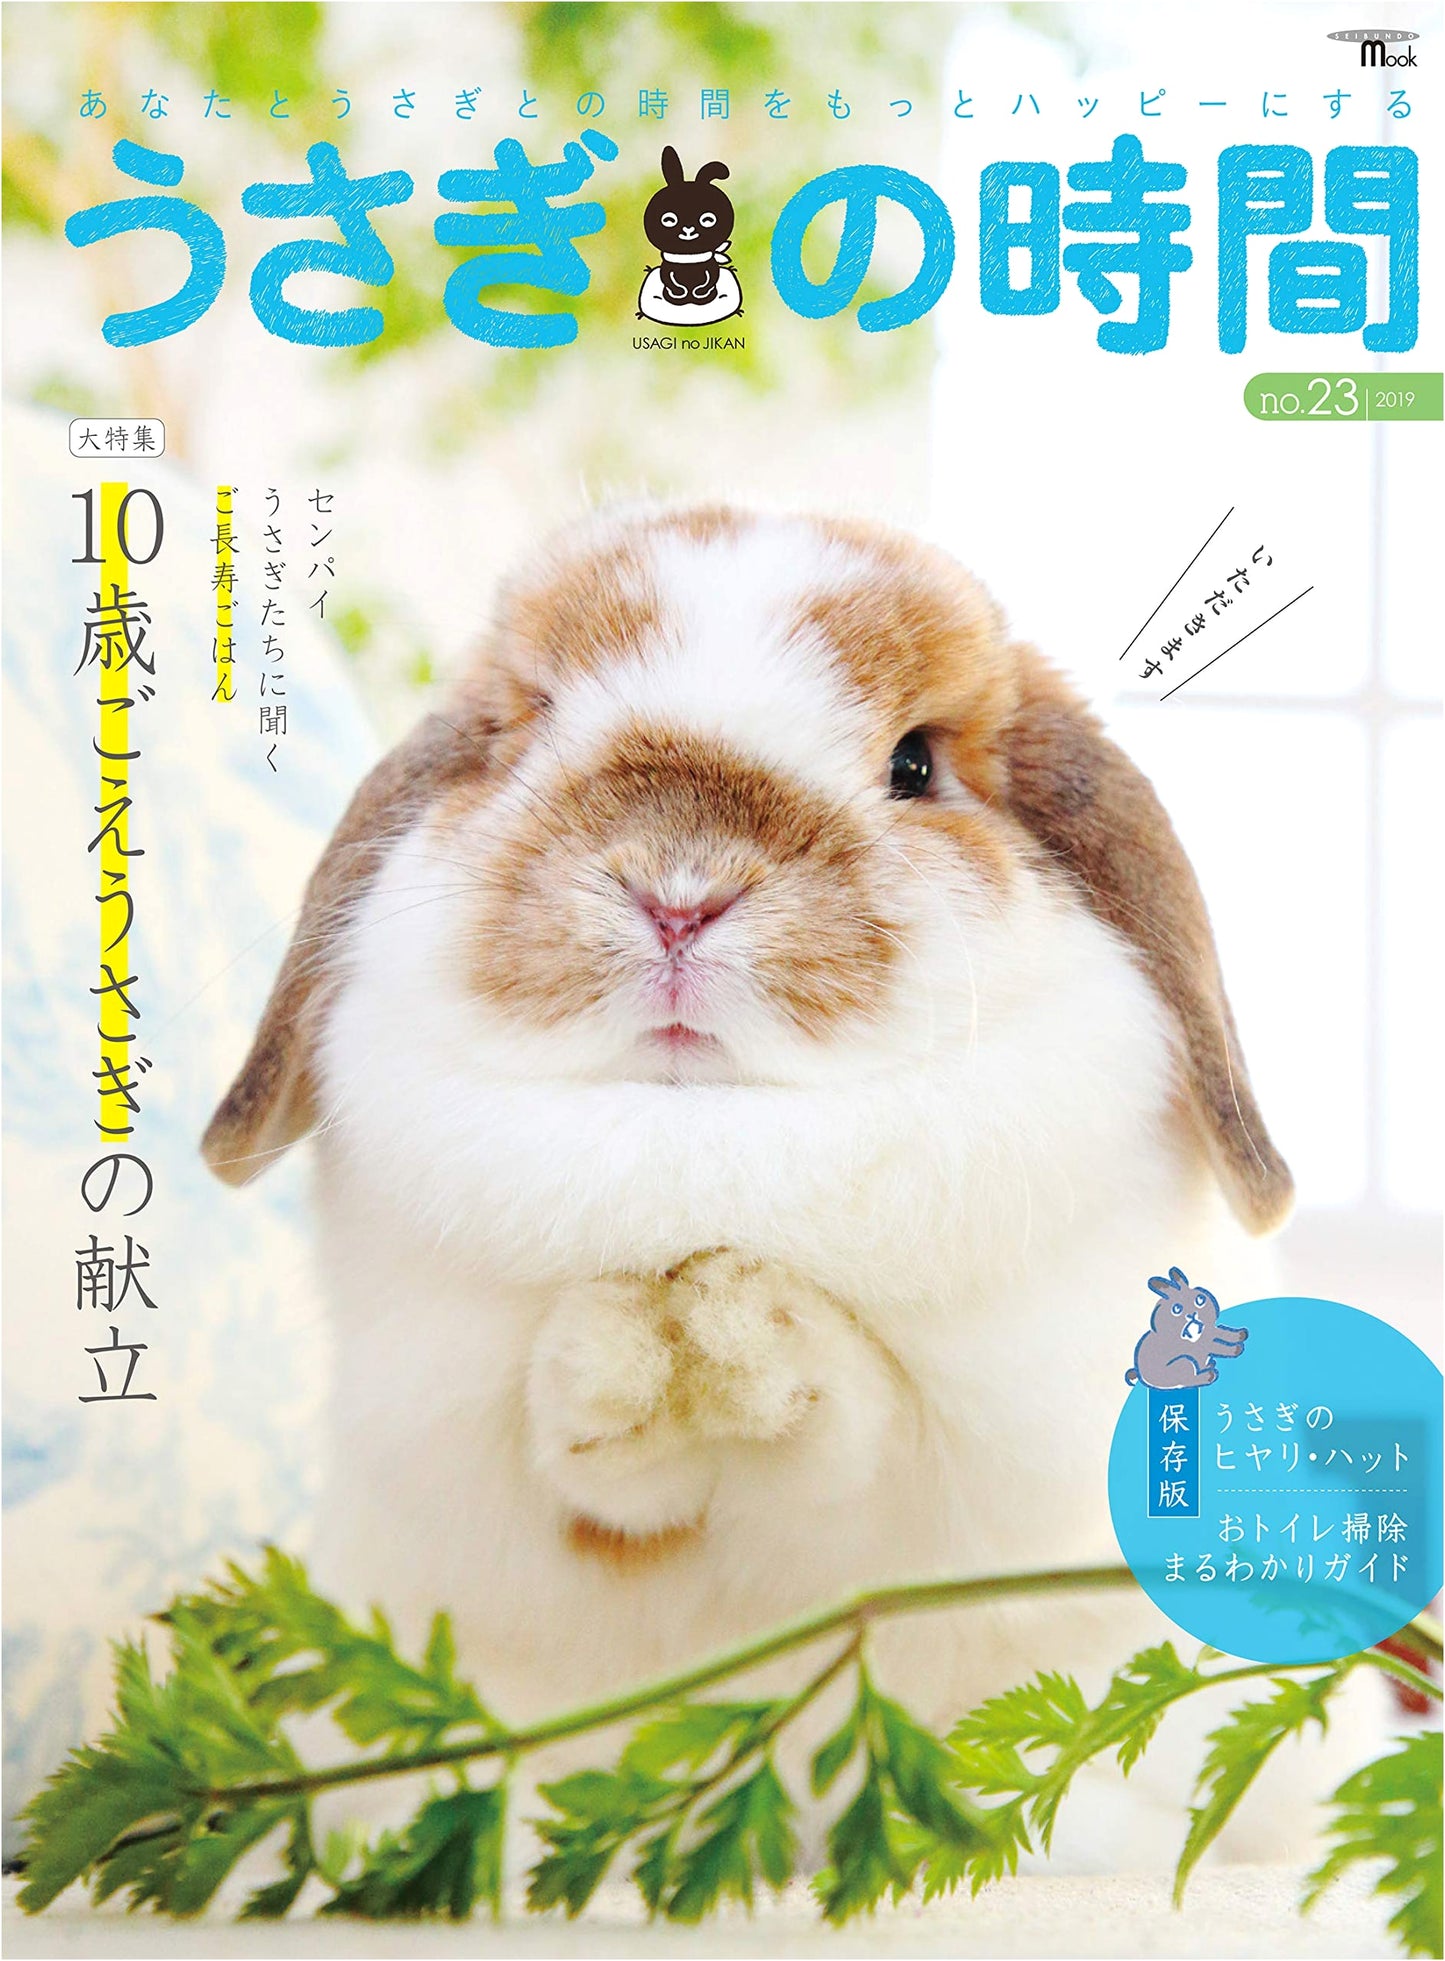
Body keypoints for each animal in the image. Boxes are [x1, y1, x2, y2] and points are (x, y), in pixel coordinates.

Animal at [203, 504, 1380, 1874]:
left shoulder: (966, 1460)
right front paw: (626, 1335)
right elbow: (576, 1447)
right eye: (534, 723)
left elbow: (859, 1436)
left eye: (914, 764)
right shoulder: (456, 1424)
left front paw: (735, 1323)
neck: (701, 1136)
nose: (678, 891)